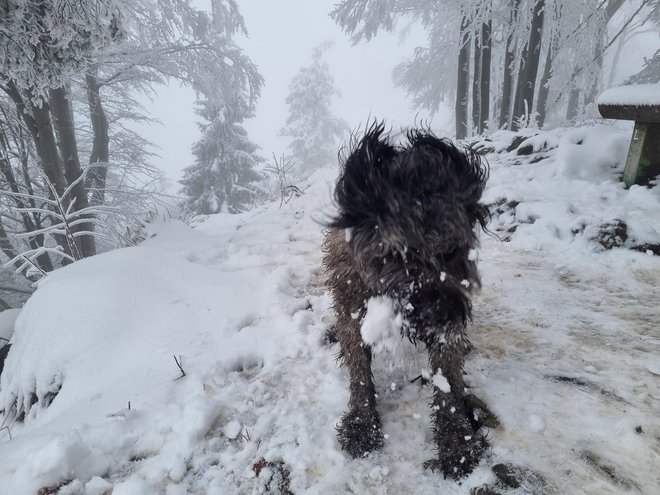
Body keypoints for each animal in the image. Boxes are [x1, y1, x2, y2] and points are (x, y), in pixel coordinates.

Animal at [324, 123, 490, 480]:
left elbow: (448, 380)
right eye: (394, 254)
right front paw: (362, 422)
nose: (440, 314)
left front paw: (457, 439)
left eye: (452, 250)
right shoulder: (352, 306)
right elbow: (358, 369)